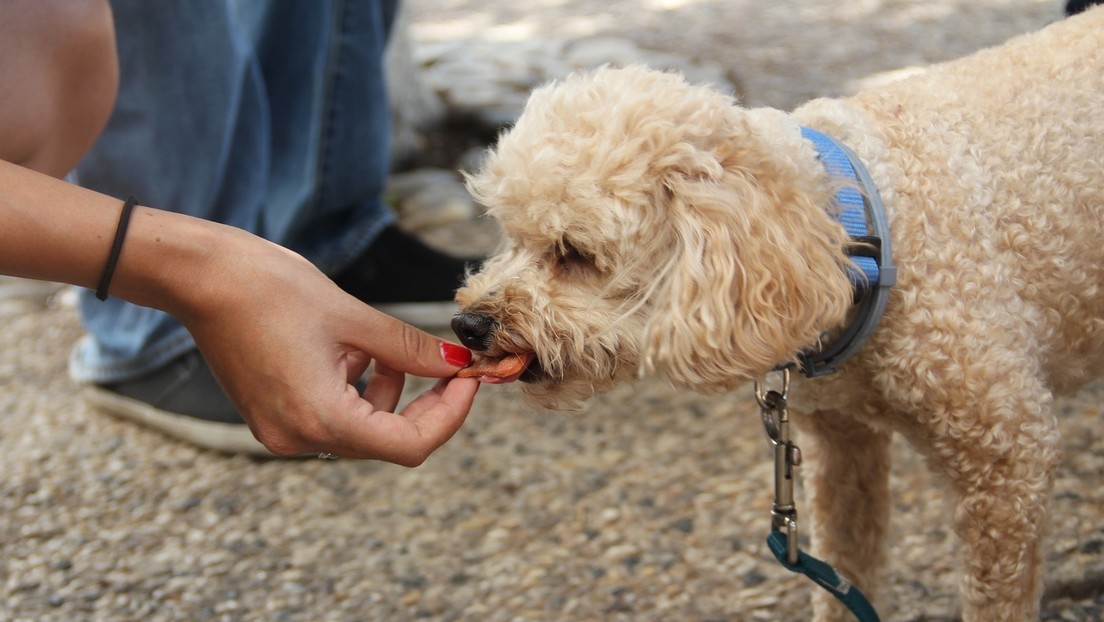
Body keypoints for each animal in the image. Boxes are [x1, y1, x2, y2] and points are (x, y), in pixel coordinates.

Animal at [450, 9, 1104, 622]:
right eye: (508, 235)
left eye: (574, 253)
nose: (468, 325)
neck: (862, 235)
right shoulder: (843, 445)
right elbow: (846, 573)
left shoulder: (1007, 462)